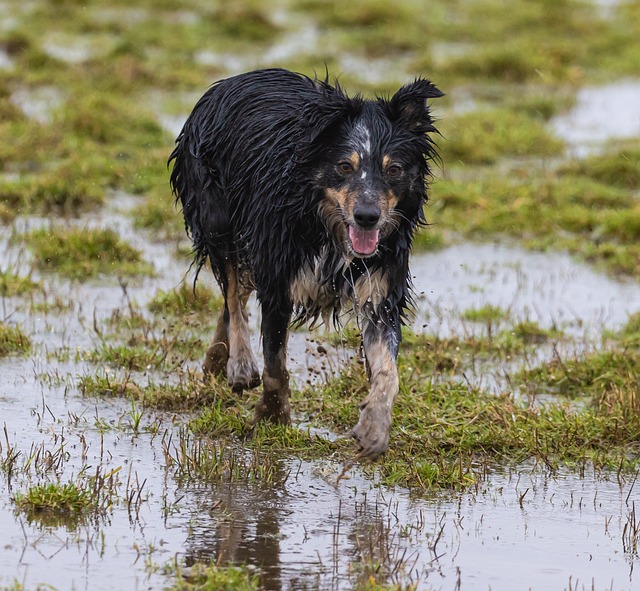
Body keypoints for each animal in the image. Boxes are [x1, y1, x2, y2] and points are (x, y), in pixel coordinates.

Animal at [168, 67, 442, 460]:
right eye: (344, 166)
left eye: (394, 169)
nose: (367, 217)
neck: (323, 223)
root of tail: (230, 80)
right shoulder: (277, 274)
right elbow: (274, 363)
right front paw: (273, 416)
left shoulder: (380, 285)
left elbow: (389, 371)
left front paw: (374, 429)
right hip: (220, 218)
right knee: (233, 293)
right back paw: (239, 364)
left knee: (233, 298)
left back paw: (216, 361)